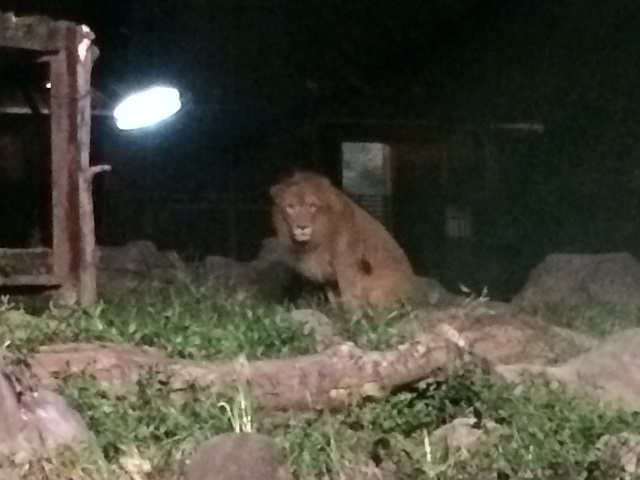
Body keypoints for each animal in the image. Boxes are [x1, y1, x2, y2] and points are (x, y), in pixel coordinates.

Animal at [269, 170, 419, 310]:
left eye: (312, 206)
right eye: (290, 207)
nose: (302, 227)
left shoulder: (347, 268)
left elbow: (349, 297)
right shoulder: (329, 277)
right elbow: (333, 297)